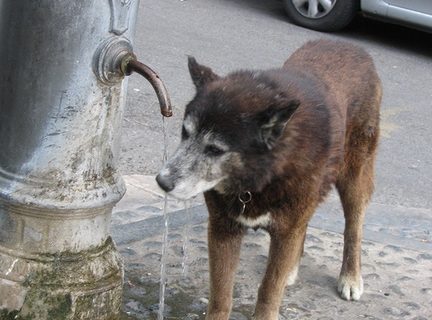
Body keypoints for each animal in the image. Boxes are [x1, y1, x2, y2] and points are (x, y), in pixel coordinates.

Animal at [157, 38, 380, 318]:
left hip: (352, 179)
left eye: (215, 149)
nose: (162, 181)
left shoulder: (285, 232)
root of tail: (351, 45)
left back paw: (350, 277)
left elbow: (269, 289)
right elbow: (221, 294)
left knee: (353, 227)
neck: (261, 178)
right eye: (185, 133)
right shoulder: (222, 229)